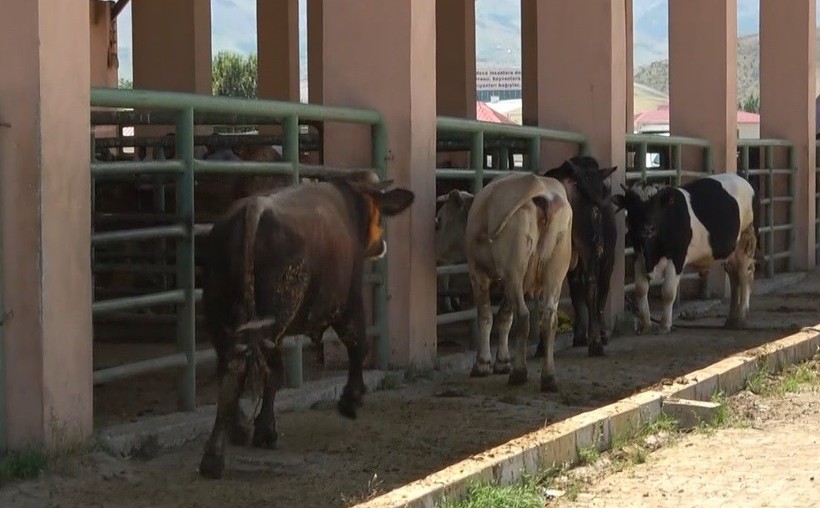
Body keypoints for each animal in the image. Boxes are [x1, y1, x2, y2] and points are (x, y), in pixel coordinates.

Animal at [196, 172, 414, 480]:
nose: (380, 243)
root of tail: (253, 210)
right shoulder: (348, 302)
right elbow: (357, 344)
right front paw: (351, 399)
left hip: (225, 318)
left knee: (232, 365)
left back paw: (235, 432)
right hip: (275, 313)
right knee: (244, 368)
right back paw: (215, 456)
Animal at [464, 173, 572, 390]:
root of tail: (539, 187)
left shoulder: (478, 273)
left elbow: (486, 316)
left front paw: (483, 363)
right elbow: (505, 317)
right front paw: (502, 362)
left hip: (513, 268)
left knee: (523, 316)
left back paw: (519, 373)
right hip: (555, 269)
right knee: (549, 318)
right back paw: (548, 377)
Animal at [612, 173, 760, 336]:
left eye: (657, 206)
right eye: (632, 205)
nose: (648, 228)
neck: (652, 250)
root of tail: (743, 179)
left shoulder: (677, 257)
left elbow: (668, 292)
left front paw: (664, 325)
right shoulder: (638, 256)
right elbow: (640, 289)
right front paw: (645, 325)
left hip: (747, 239)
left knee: (745, 275)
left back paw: (742, 318)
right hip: (731, 251)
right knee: (734, 277)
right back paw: (731, 319)